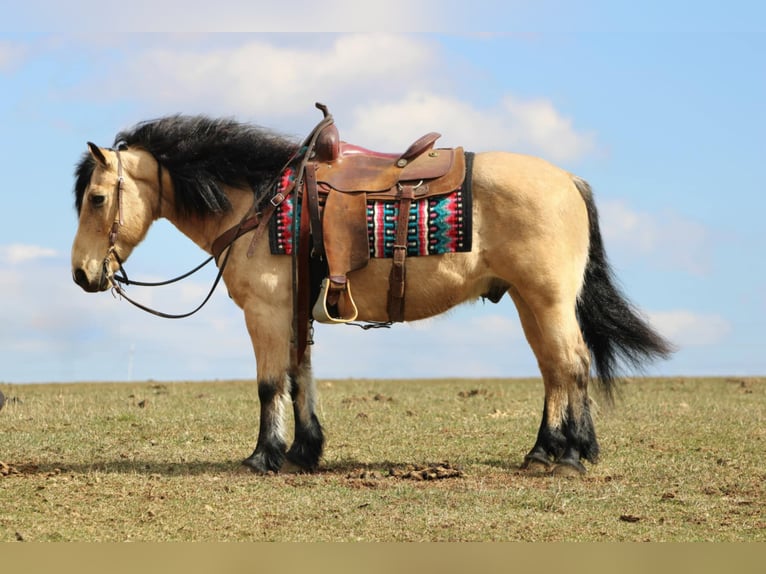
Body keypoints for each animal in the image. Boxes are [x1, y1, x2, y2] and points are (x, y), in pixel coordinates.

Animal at [71, 108, 673, 475]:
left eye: (97, 198)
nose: (81, 273)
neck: (261, 202)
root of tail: (568, 179)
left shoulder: (266, 311)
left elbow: (269, 384)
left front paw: (264, 456)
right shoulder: (295, 311)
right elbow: (300, 376)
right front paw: (304, 451)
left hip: (546, 300)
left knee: (570, 363)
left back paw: (568, 454)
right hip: (531, 301)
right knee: (555, 368)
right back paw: (551, 450)